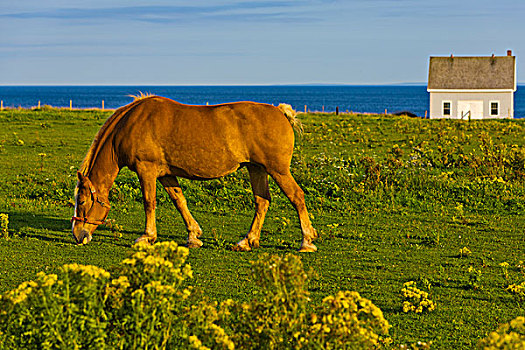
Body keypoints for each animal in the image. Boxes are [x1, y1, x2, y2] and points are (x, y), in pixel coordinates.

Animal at [71, 95, 318, 252]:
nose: (78, 234)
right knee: (262, 201)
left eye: (81, 201)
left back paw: (306, 241)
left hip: (278, 171)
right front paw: (193, 236)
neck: (131, 124)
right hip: (256, 168)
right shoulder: (165, 174)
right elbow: (179, 201)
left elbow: (149, 203)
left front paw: (147, 236)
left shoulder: (146, 170)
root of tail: (280, 112)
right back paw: (247, 241)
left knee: (297, 197)